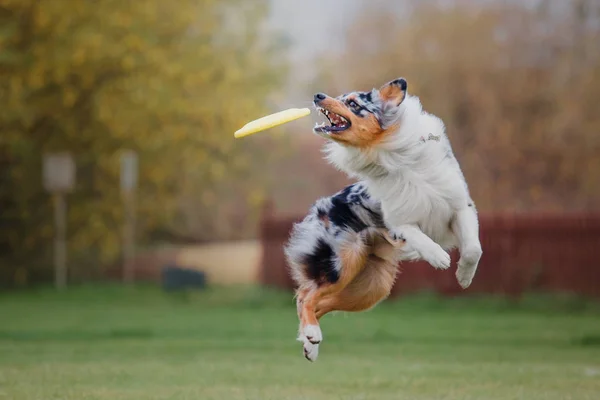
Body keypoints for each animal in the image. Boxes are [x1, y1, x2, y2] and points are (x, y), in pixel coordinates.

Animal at [282, 76, 482, 360]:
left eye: (353, 103)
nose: (318, 95)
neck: (393, 153)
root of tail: (318, 208)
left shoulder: (460, 206)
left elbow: (474, 248)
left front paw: (464, 276)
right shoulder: (398, 220)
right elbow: (419, 236)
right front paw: (438, 257)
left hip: (370, 288)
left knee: (318, 301)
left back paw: (310, 344)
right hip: (343, 264)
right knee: (305, 296)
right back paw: (312, 333)